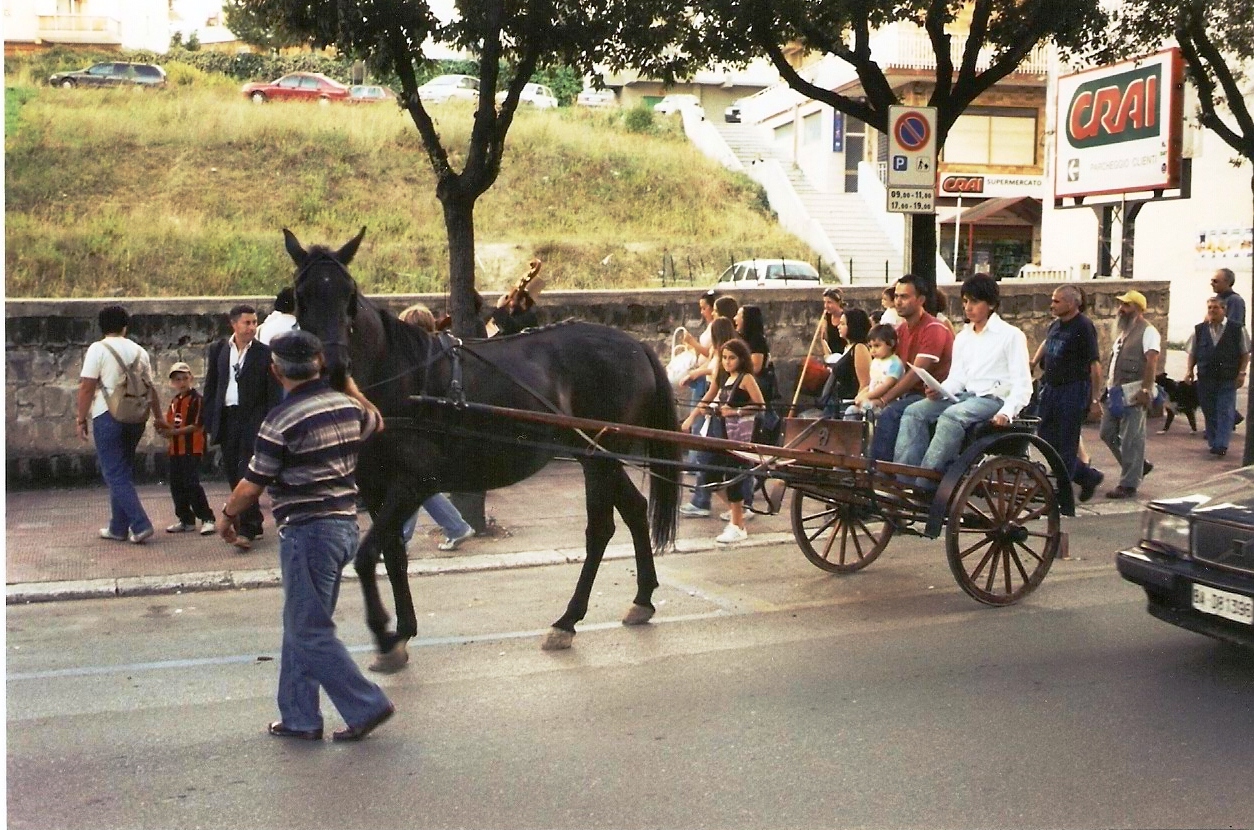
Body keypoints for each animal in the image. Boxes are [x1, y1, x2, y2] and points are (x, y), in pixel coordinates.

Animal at [284, 228, 682, 672]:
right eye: (300, 296)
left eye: (349, 295)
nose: (334, 367)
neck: (398, 375)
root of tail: (635, 345)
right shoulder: (375, 487)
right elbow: (392, 554)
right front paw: (402, 632)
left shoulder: (412, 484)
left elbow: (368, 557)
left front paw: (385, 635)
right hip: (598, 457)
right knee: (634, 510)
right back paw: (642, 598)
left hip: (599, 459)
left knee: (600, 530)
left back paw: (567, 620)